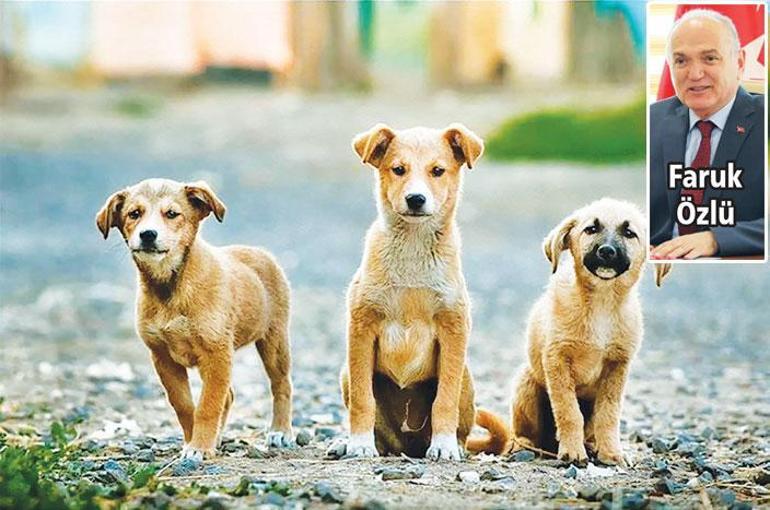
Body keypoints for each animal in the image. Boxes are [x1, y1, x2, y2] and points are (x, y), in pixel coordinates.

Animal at [94, 180, 292, 462]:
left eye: (172, 214)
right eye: (134, 214)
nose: (148, 235)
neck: (170, 287)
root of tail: (260, 252)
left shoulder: (216, 353)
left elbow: (208, 405)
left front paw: (199, 447)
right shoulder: (163, 357)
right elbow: (185, 405)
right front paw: (193, 441)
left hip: (274, 341)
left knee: (281, 384)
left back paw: (280, 431)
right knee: (229, 396)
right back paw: (218, 438)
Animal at [340, 124, 484, 462]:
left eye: (438, 171)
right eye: (398, 169)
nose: (416, 199)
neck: (413, 250)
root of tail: (408, 446)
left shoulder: (453, 329)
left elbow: (444, 400)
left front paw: (444, 445)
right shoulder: (361, 327)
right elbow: (363, 400)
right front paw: (359, 443)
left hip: (466, 377)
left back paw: (454, 445)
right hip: (345, 373)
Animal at [464, 199, 668, 466]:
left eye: (629, 233)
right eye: (591, 229)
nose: (607, 251)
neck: (601, 304)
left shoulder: (618, 366)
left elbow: (609, 414)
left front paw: (611, 453)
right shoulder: (557, 359)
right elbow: (569, 411)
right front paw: (572, 451)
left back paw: (591, 446)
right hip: (526, 383)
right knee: (522, 433)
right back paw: (524, 447)